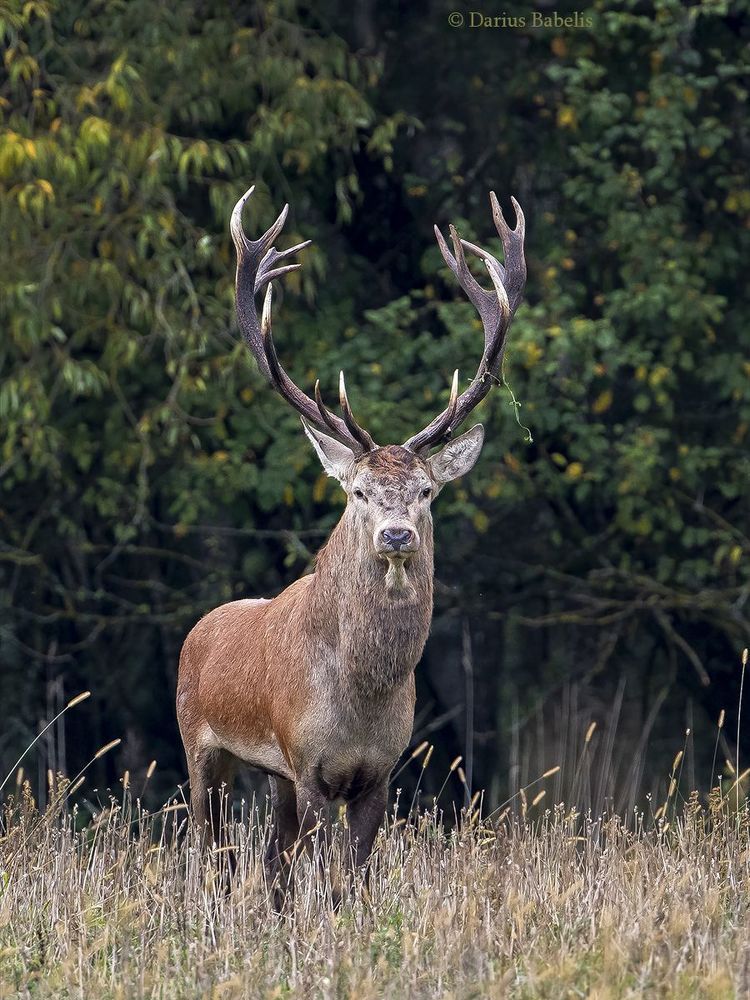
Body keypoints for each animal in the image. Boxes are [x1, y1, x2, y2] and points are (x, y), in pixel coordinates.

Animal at [176, 184, 526, 891]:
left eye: (426, 490)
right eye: (359, 491)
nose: (395, 535)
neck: (361, 700)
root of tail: (199, 629)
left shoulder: (379, 773)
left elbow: (351, 881)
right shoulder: (306, 760)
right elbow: (316, 876)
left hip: (270, 776)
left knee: (270, 861)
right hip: (200, 744)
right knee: (211, 852)